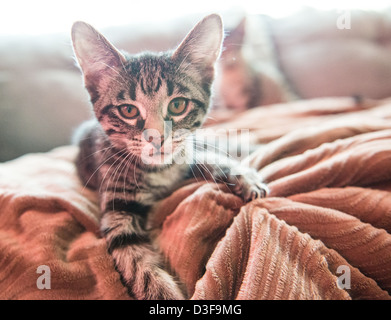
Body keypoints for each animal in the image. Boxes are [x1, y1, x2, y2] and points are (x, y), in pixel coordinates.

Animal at [72, 15, 268, 300]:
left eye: (177, 105)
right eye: (128, 110)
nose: (157, 138)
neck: (159, 173)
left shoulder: (185, 156)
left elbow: (210, 158)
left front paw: (245, 176)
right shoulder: (117, 208)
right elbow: (135, 258)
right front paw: (163, 293)